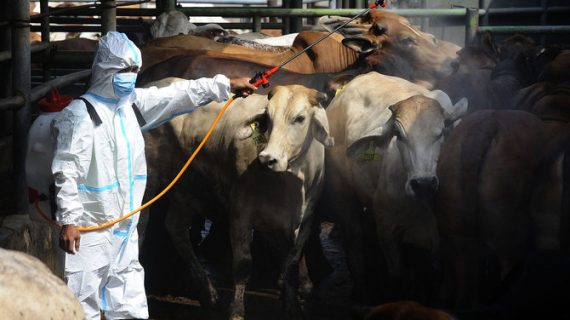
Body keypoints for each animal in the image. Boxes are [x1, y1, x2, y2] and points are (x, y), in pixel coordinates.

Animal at [140, 80, 330, 320]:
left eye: (300, 118)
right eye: (268, 118)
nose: (267, 159)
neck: (291, 184)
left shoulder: (305, 221)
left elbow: (291, 262)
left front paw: (292, 306)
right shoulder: (240, 214)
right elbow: (243, 265)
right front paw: (237, 311)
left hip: (189, 191)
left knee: (175, 227)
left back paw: (209, 294)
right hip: (149, 183)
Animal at [320, 72, 466, 302]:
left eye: (442, 132)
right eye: (399, 134)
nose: (423, 184)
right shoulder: (387, 229)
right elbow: (400, 275)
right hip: (343, 197)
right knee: (355, 247)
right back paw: (361, 294)